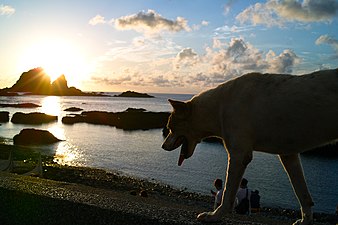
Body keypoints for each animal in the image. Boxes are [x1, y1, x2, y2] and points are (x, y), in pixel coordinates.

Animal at [161, 69, 338, 225]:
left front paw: (214, 216)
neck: (217, 107)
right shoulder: (289, 155)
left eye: (170, 127)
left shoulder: (239, 155)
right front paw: (305, 220)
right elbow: (303, 194)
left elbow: (227, 193)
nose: (162, 146)